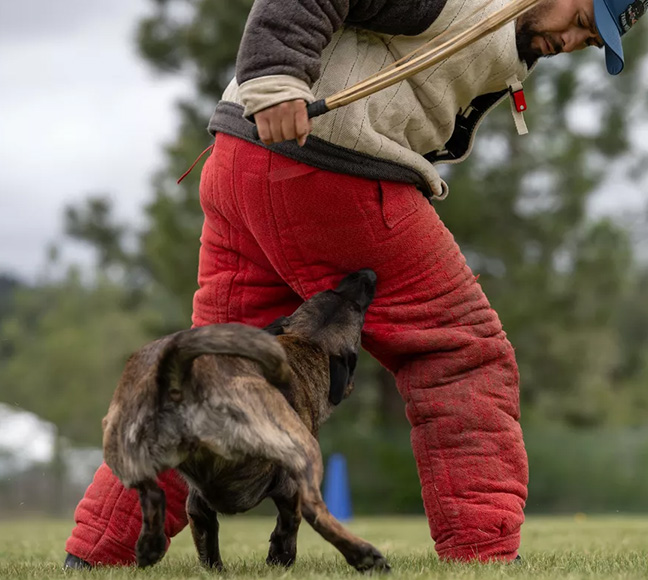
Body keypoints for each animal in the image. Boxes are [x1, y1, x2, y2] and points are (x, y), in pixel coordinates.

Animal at [102, 270, 390, 572]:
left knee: (153, 494)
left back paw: (151, 546)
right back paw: (365, 555)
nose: (366, 274)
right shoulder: (290, 487)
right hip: (306, 457)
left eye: (330, 291)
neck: (306, 344)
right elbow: (290, 523)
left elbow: (207, 538)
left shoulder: (198, 505)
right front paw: (281, 558)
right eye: (358, 310)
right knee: (316, 514)